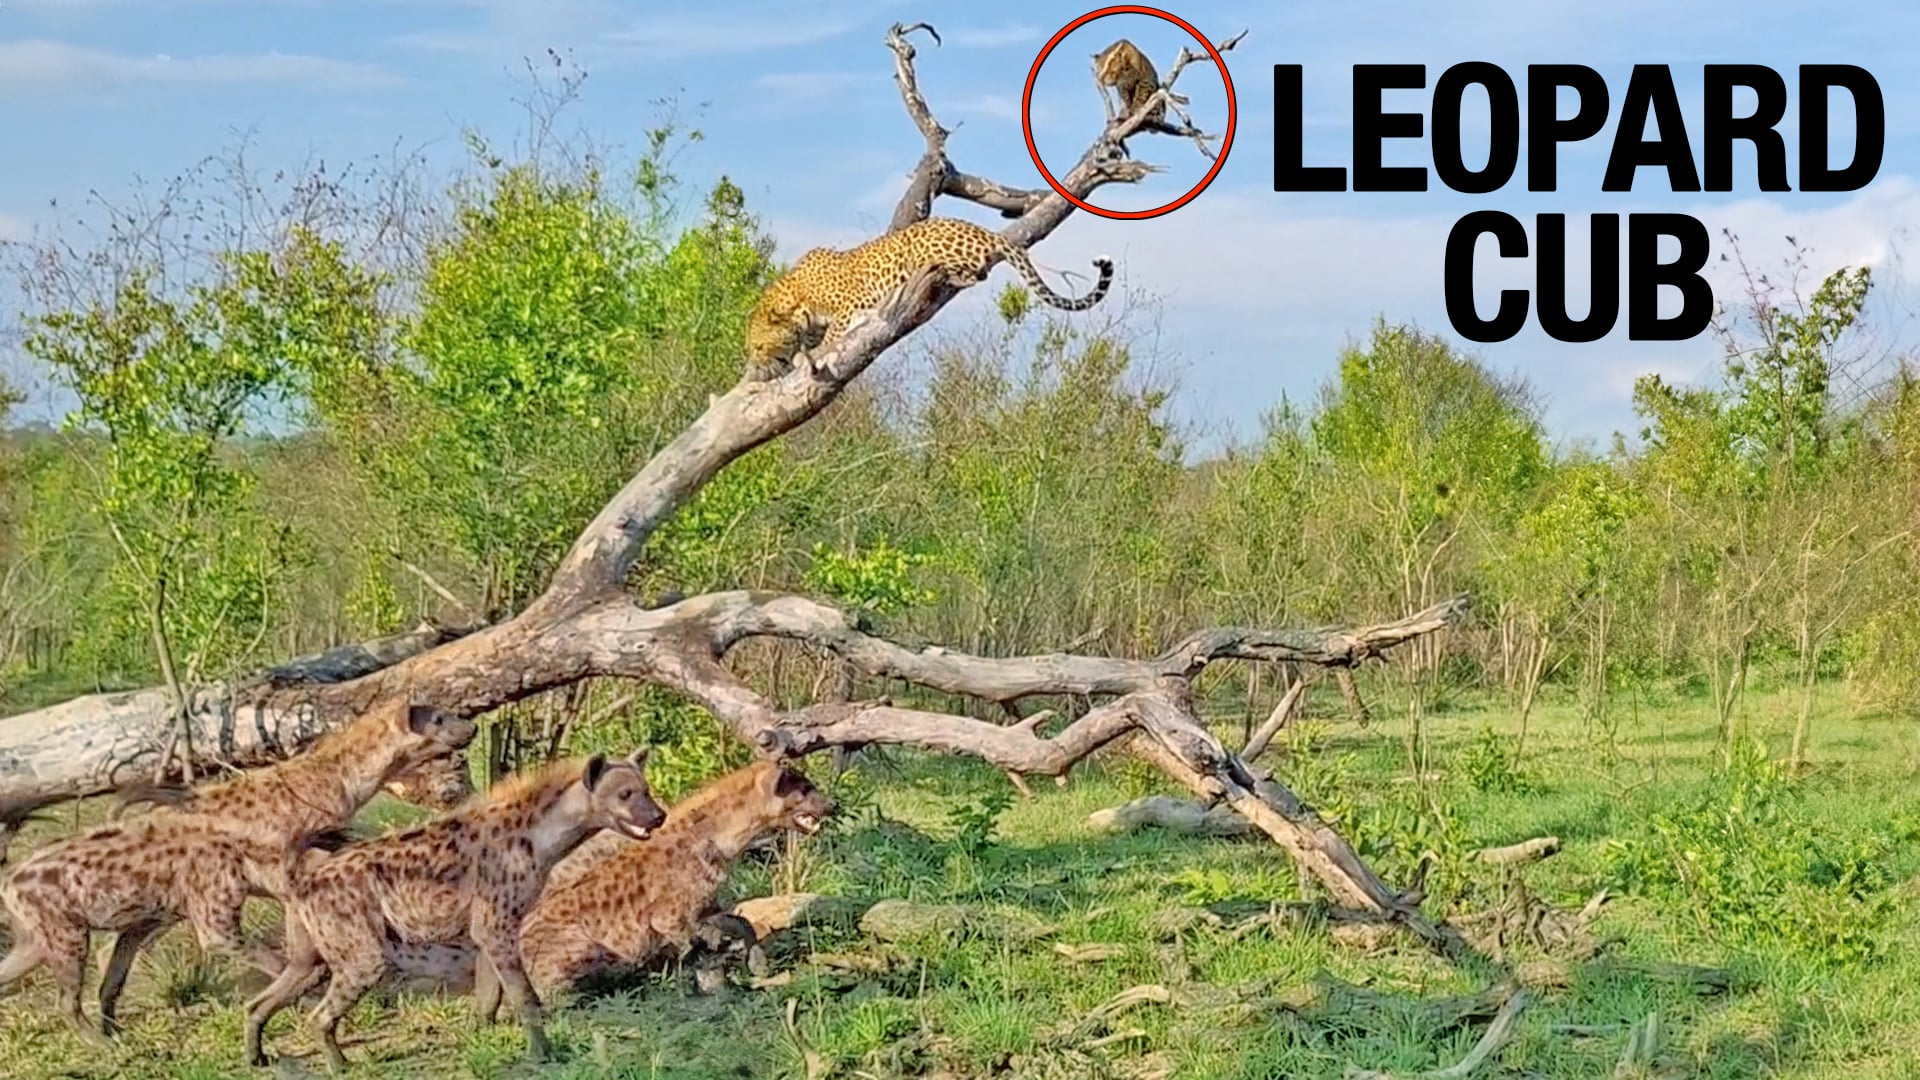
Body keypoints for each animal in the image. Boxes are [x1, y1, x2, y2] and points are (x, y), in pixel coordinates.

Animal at [242, 750, 667, 1072]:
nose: (659, 816)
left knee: (260, 1000)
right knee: (320, 1014)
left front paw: (484, 1040)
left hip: (311, 957)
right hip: (362, 954)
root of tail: (302, 881)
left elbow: (489, 997)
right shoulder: (497, 926)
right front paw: (543, 1055)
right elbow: (525, 996)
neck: (541, 838)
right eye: (626, 794)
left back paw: (257, 1057)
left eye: (646, 791)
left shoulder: (484, 933)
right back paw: (340, 1066)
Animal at [469, 759, 833, 1015]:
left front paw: (755, 963)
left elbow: (739, 922)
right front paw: (715, 986)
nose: (833, 804)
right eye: (806, 789)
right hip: (579, 946)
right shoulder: (670, 917)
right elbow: (700, 949)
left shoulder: (705, 905)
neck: (719, 839)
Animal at [742, 217, 1115, 380]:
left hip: (924, 246)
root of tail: (985, 231)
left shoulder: (850, 302)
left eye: (759, 346)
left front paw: (814, 352)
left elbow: (833, 334)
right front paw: (800, 355)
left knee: (976, 271)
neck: (796, 296)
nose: (754, 364)